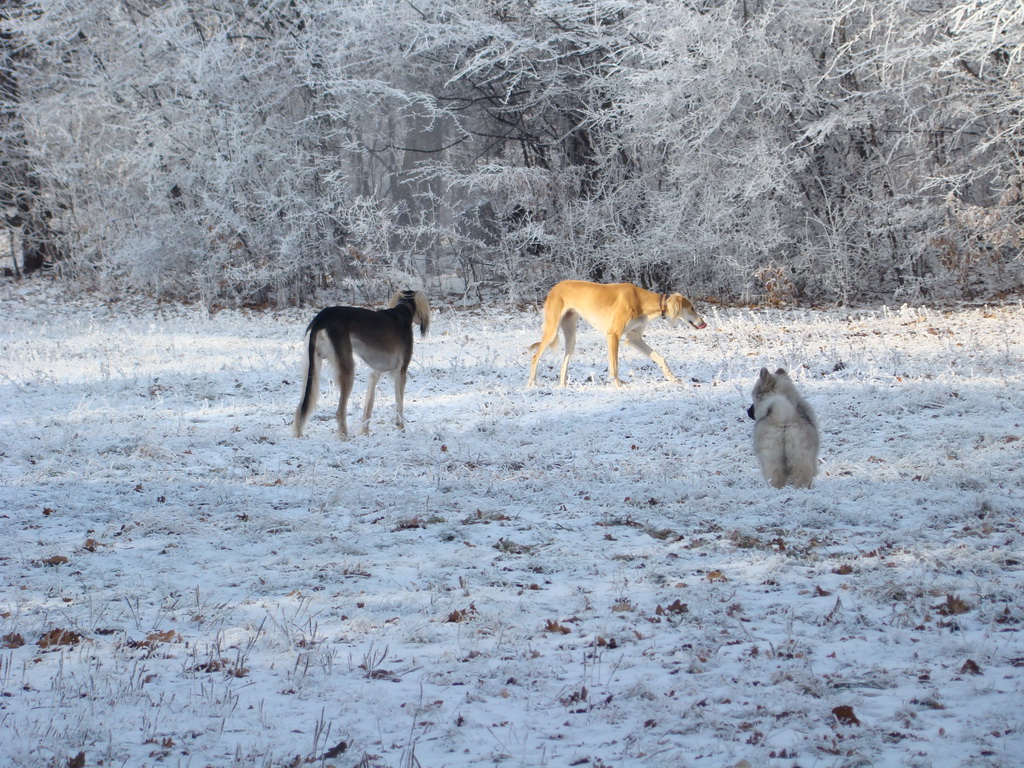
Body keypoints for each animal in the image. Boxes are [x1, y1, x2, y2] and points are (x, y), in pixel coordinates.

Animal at [528, 280, 704, 387]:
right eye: (692, 308)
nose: (703, 323)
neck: (641, 301)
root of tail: (555, 287)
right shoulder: (613, 335)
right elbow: (614, 366)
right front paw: (619, 386)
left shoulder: (634, 338)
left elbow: (659, 357)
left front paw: (672, 377)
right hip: (552, 329)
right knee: (535, 356)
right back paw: (532, 383)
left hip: (571, 334)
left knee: (564, 362)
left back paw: (562, 386)